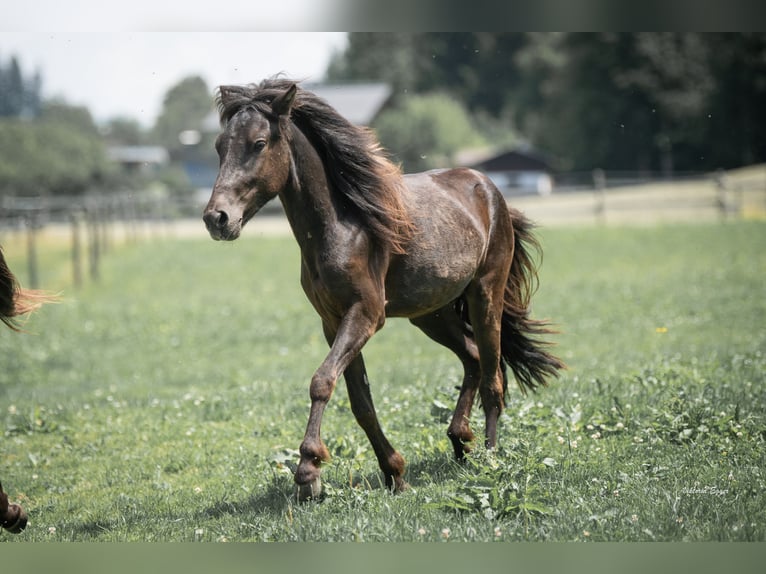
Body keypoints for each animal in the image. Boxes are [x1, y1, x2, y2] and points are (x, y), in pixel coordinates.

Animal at [203, 78, 565, 501]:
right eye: (219, 146)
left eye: (259, 143)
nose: (216, 218)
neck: (344, 226)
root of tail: (491, 190)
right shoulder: (334, 322)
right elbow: (360, 402)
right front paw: (394, 473)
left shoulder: (366, 314)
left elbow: (321, 382)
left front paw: (308, 472)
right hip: (432, 314)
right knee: (474, 358)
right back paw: (460, 441)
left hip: (484, 295)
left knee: (493, 376)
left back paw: (489, 458)